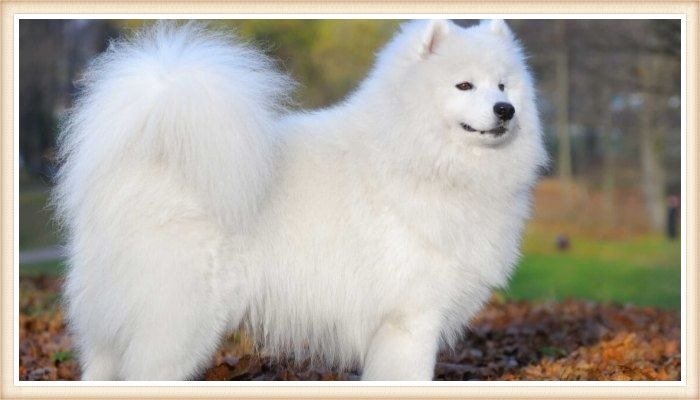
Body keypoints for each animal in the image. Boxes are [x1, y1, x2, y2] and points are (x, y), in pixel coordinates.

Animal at [53, 19, 548, 382]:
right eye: (464, 86)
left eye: (503, 86)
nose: (506, 111)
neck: (413, 155)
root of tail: (145, 163)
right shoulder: (411, 318)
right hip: (178, 321)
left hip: (112, 329)